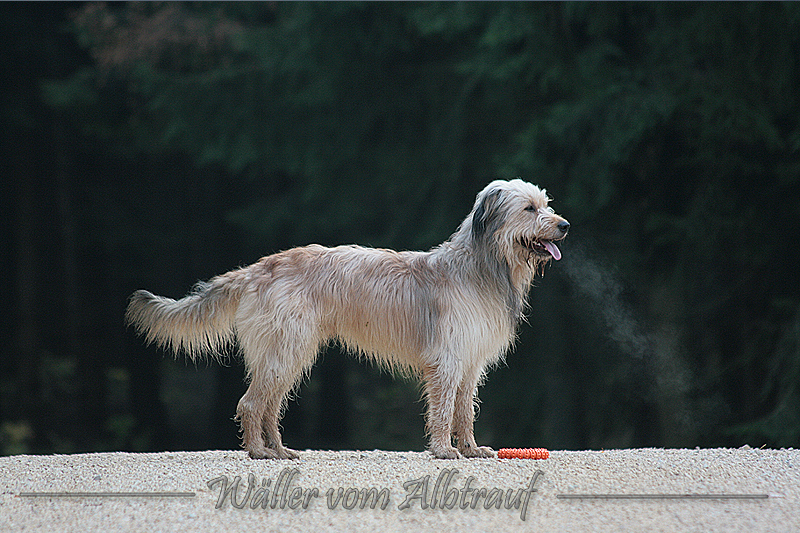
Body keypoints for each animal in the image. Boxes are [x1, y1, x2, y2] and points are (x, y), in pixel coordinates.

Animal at [126, 179, 569, 459]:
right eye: (530, 208)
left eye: (546, 204)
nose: (565, 224)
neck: (481, 266)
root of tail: (258, 268)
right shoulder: (446, 360)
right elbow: (443, 409)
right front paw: (444, 450)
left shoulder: (470, 361)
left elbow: (464, 409)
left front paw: (471, 448)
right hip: (286, 349)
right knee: (251, 403)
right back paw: (257, 452)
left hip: (289, 353)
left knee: (268, 406)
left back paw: (277, 449)